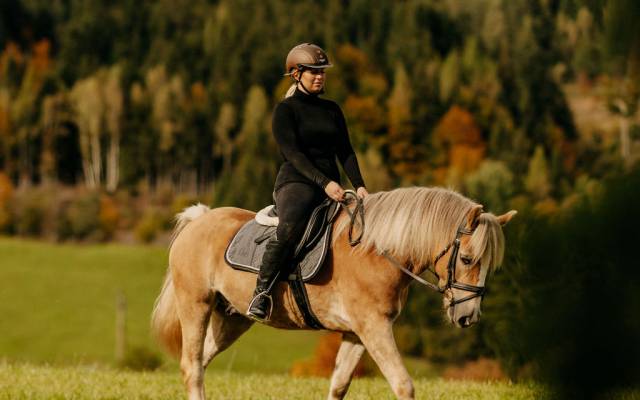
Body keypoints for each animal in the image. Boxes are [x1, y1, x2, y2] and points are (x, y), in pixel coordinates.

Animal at [151, 186, 516, 400]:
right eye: (467, 259)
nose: (468, 316)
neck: (377, 252)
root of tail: (198, 220)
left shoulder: (357, 334)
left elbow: (339, 385)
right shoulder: (374, 328)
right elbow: (403, 384)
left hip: (232, 320)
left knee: (198, 363)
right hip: (195, 305)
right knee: (192, 366)